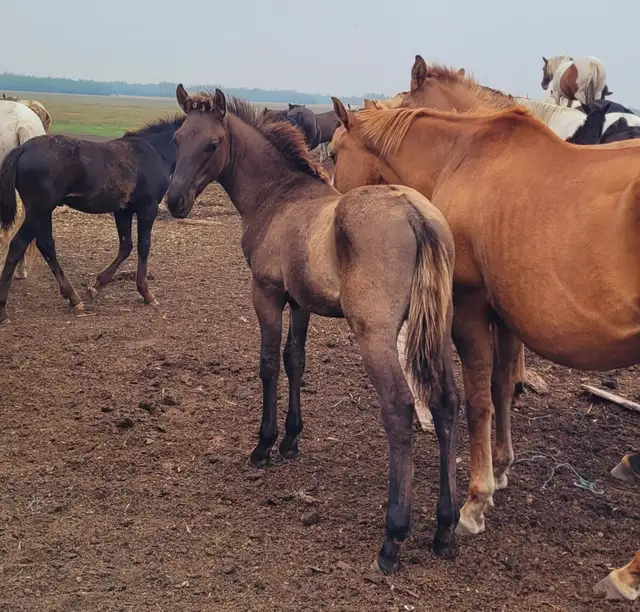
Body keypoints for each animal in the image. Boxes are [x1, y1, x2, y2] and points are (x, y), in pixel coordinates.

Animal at [165, 85, 460, 574]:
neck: (279, 197)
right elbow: (295, 360)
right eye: (177, 138)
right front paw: (291, 439)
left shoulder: (266, 293)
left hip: (375, 334)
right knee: (445, 403)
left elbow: (268, 363)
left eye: (211, 144)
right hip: (436, 330)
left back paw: (393, 537)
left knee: (399, 409)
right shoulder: (300, 302)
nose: (174, 202)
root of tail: (415, 215)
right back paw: (445, 527)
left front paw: (264, 446)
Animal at [328, 75, 640, 544]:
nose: (331, 220)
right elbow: (502, 387)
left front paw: (475, 501)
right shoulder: (506, 316)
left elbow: (478, 401)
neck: (463, 157)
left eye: (332, 153)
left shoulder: (470, 309)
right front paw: (503, 468)